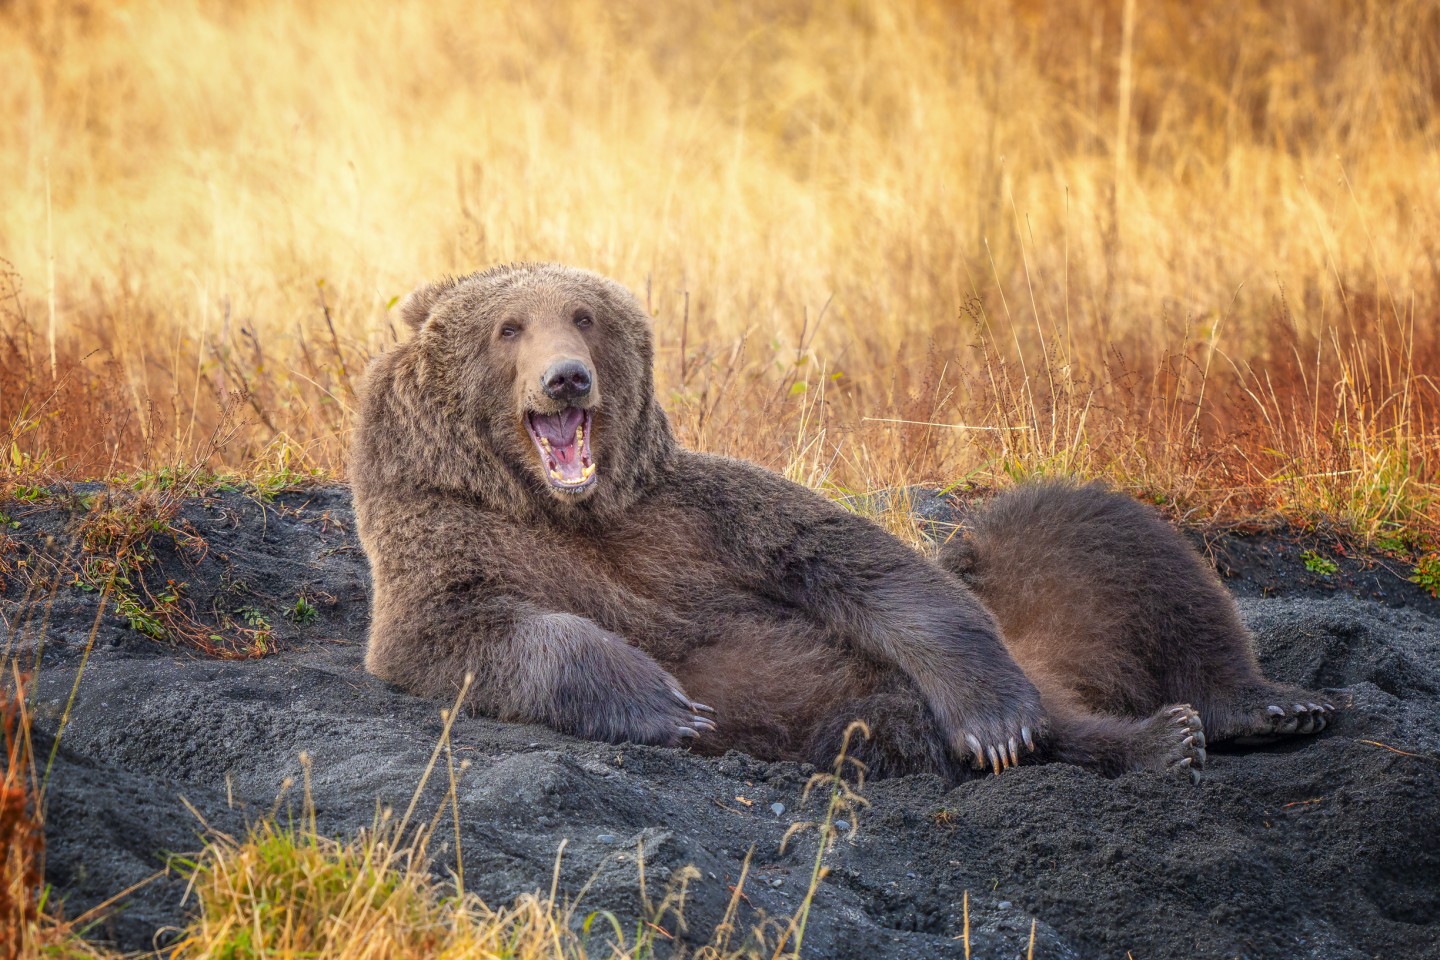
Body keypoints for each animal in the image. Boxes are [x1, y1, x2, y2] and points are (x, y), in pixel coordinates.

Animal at [351, 260, 1203, 782]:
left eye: (584, 316)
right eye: (509, 328)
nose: (566, 379)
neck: (564, 504)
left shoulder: (694, 515)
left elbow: (865, 564)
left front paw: (997, 722)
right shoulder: (448, 536)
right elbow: (464, 633)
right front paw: (669, 705)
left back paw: (1168, 738)